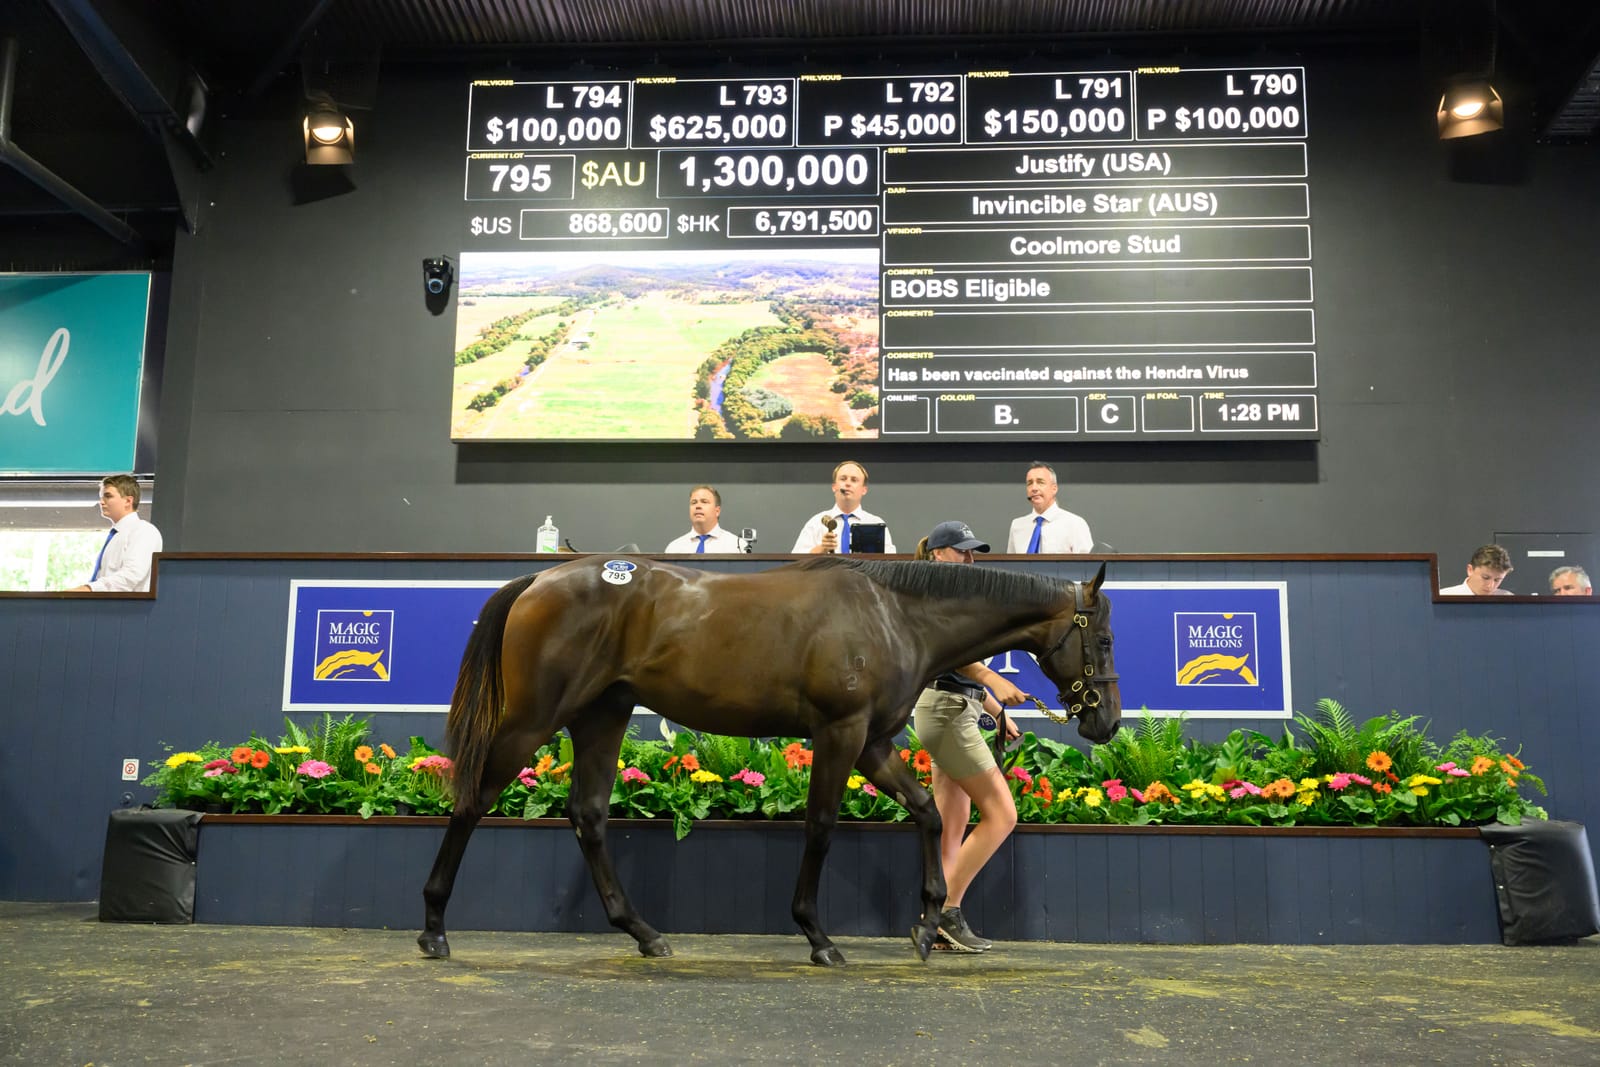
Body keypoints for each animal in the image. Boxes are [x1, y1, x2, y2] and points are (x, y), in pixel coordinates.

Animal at [425, 556, 1126, 966]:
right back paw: (434, 928)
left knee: (589, 814)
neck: (894, 614)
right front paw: (818, 937)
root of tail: (539, 579)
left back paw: (645, 933)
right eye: (1104, 638)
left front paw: (929, 926)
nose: (1107, 721)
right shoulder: (840, 734)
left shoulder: (873, 743)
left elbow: (927, 813)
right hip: (533, 719)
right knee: (473, 799)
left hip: (602, 714)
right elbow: (820, 827)